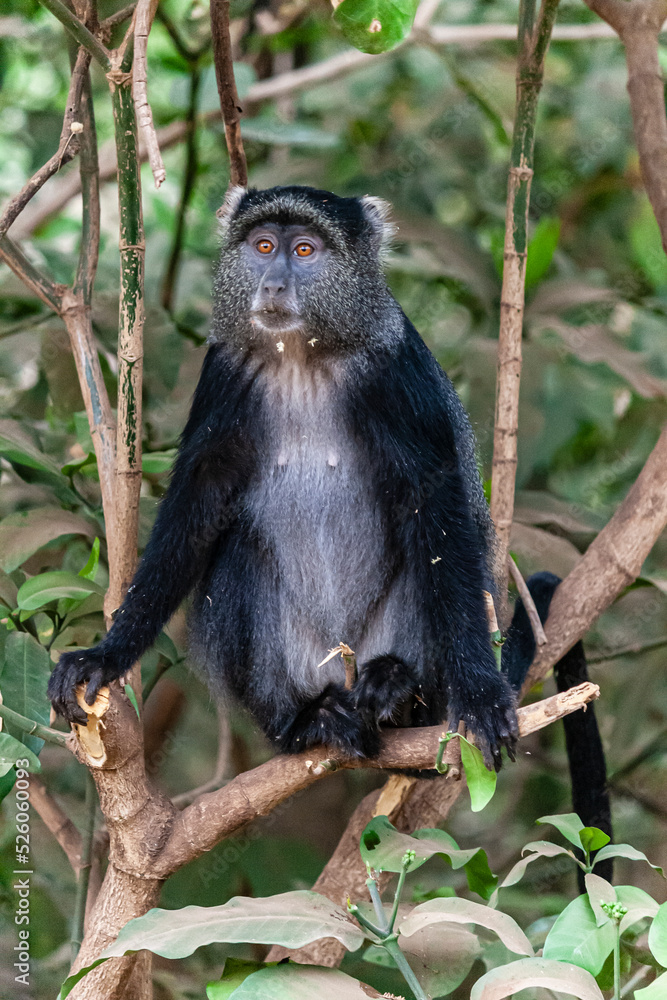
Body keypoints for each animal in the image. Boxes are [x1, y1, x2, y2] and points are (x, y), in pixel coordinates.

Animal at [47, 184, 612, 840]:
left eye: (305, 250)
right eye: (263, 246)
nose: (272, 284)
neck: (302, 354)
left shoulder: (393, 369)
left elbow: (435, 502)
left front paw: (478, 692)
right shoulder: (224, 372)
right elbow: (199, 502)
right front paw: (106, 655)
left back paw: (398, 692)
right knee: (238, 551)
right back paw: (305, 720)